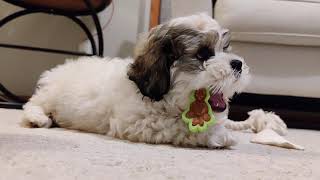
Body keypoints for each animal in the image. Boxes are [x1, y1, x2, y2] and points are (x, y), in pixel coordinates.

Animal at [23, 13, 250, 148]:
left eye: (225, 48)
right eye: (203, 54)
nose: (238, 64)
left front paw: (233, 127)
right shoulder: (138, 123)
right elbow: (178, 127)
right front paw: (217, 135)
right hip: (49, 95)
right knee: (32, 104)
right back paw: (39, 118)